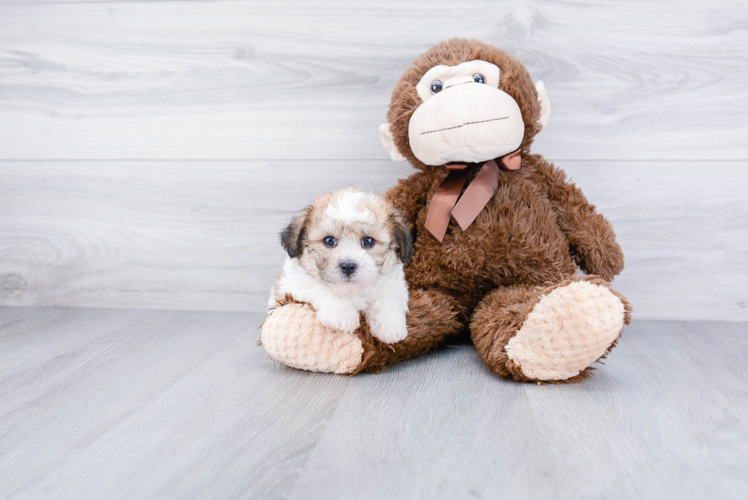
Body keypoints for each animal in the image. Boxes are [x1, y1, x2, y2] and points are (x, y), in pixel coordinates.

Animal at [268, 188, 412, 344]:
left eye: (368, 241)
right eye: (329, 240)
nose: (348, 266)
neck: (351, 291)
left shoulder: (394, 283)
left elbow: (387, 298)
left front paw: (390, 326)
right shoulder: (292, 284)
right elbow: (321, 288)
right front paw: (341, 315)